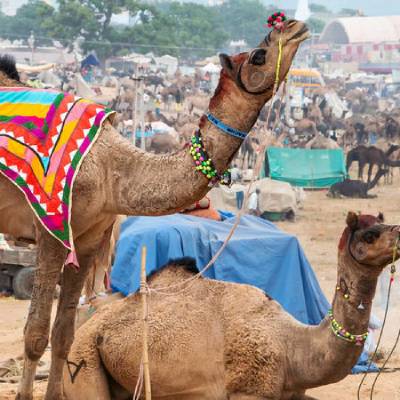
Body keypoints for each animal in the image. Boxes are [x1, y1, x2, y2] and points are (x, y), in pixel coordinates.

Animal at [0, 19, 310, 400]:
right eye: (258, 55)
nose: (295, 27)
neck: (112, 170)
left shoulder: (88, 238)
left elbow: (63, 335)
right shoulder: (51, 230)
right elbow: (35, 334)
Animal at [64, 211, 400, 398]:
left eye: (383, 223)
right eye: (370, 234)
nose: (399, 232)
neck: (292, 346)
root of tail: (87, 325)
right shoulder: (248, 390)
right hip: (83, 361)